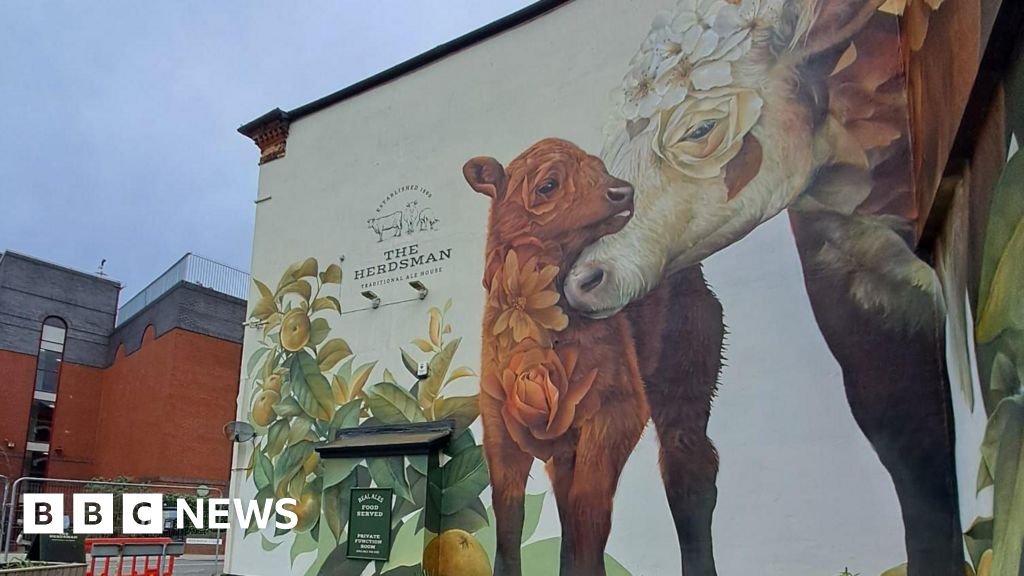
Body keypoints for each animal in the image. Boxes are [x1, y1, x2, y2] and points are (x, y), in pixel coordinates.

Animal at [466, 138, 647, 573]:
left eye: (600, 167)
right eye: (548, 184)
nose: (622, 191)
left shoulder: (620, 411)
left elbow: (589, 507)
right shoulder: (499, 423)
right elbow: (509, 515)